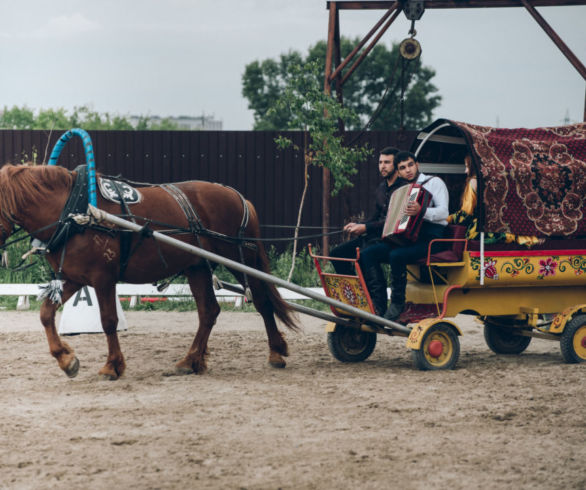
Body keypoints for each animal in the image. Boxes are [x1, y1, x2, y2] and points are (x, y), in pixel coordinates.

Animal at [0, 165, 296, 378]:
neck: (73, 212)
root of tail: (239, 197)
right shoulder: (73, 278)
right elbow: (46, 314)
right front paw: (66, 359)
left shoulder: (103, 278)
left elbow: (109, 321)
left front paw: (113, 366)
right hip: (198, 267)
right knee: (209, 311)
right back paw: (190, 361)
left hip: (240, 258)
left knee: (261, 301)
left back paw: (275, 353)